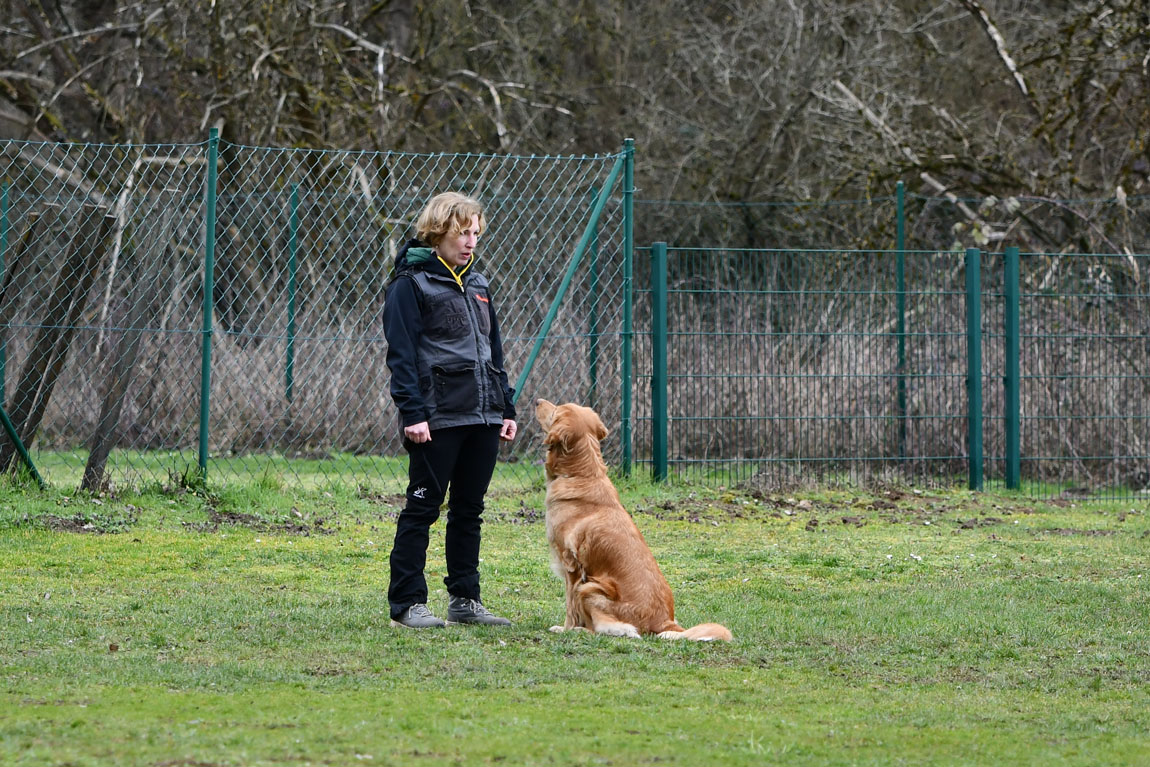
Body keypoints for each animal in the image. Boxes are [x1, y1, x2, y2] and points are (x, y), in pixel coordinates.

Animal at [533, 402, 731, 643]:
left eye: (556, 410)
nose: (537, 401)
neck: (581, 474)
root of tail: (665, 622)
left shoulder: (571, 566)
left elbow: (571, 608)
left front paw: (566, 629)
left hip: (591, 587)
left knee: (612, 630)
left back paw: (581, 631)